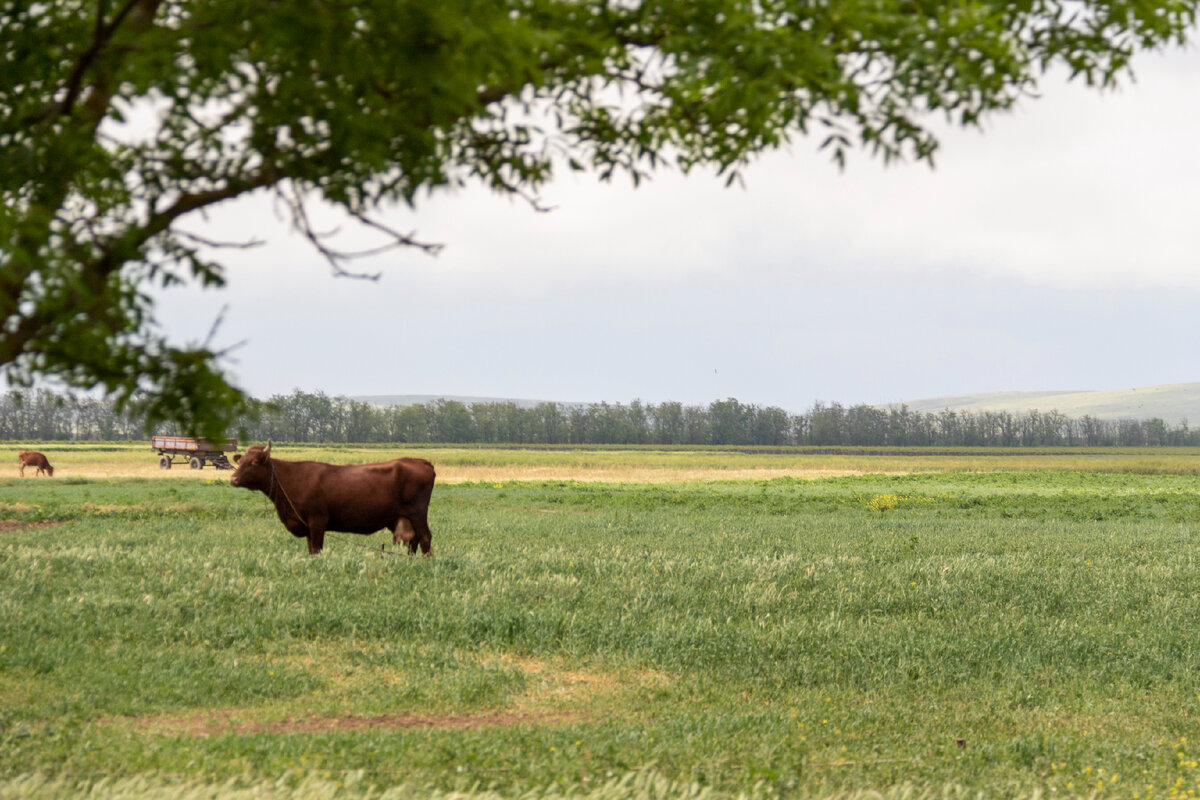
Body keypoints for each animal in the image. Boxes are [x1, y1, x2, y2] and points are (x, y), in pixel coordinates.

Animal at [226, 438, 434, 556]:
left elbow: (317, 549)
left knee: (425, 538)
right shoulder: (308, 527)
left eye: (254, 462)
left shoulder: (317, 521)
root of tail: (419, 461)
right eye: (241, 461)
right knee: (413, 540)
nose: (233, 479)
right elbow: (311, 550)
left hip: (417, 514)